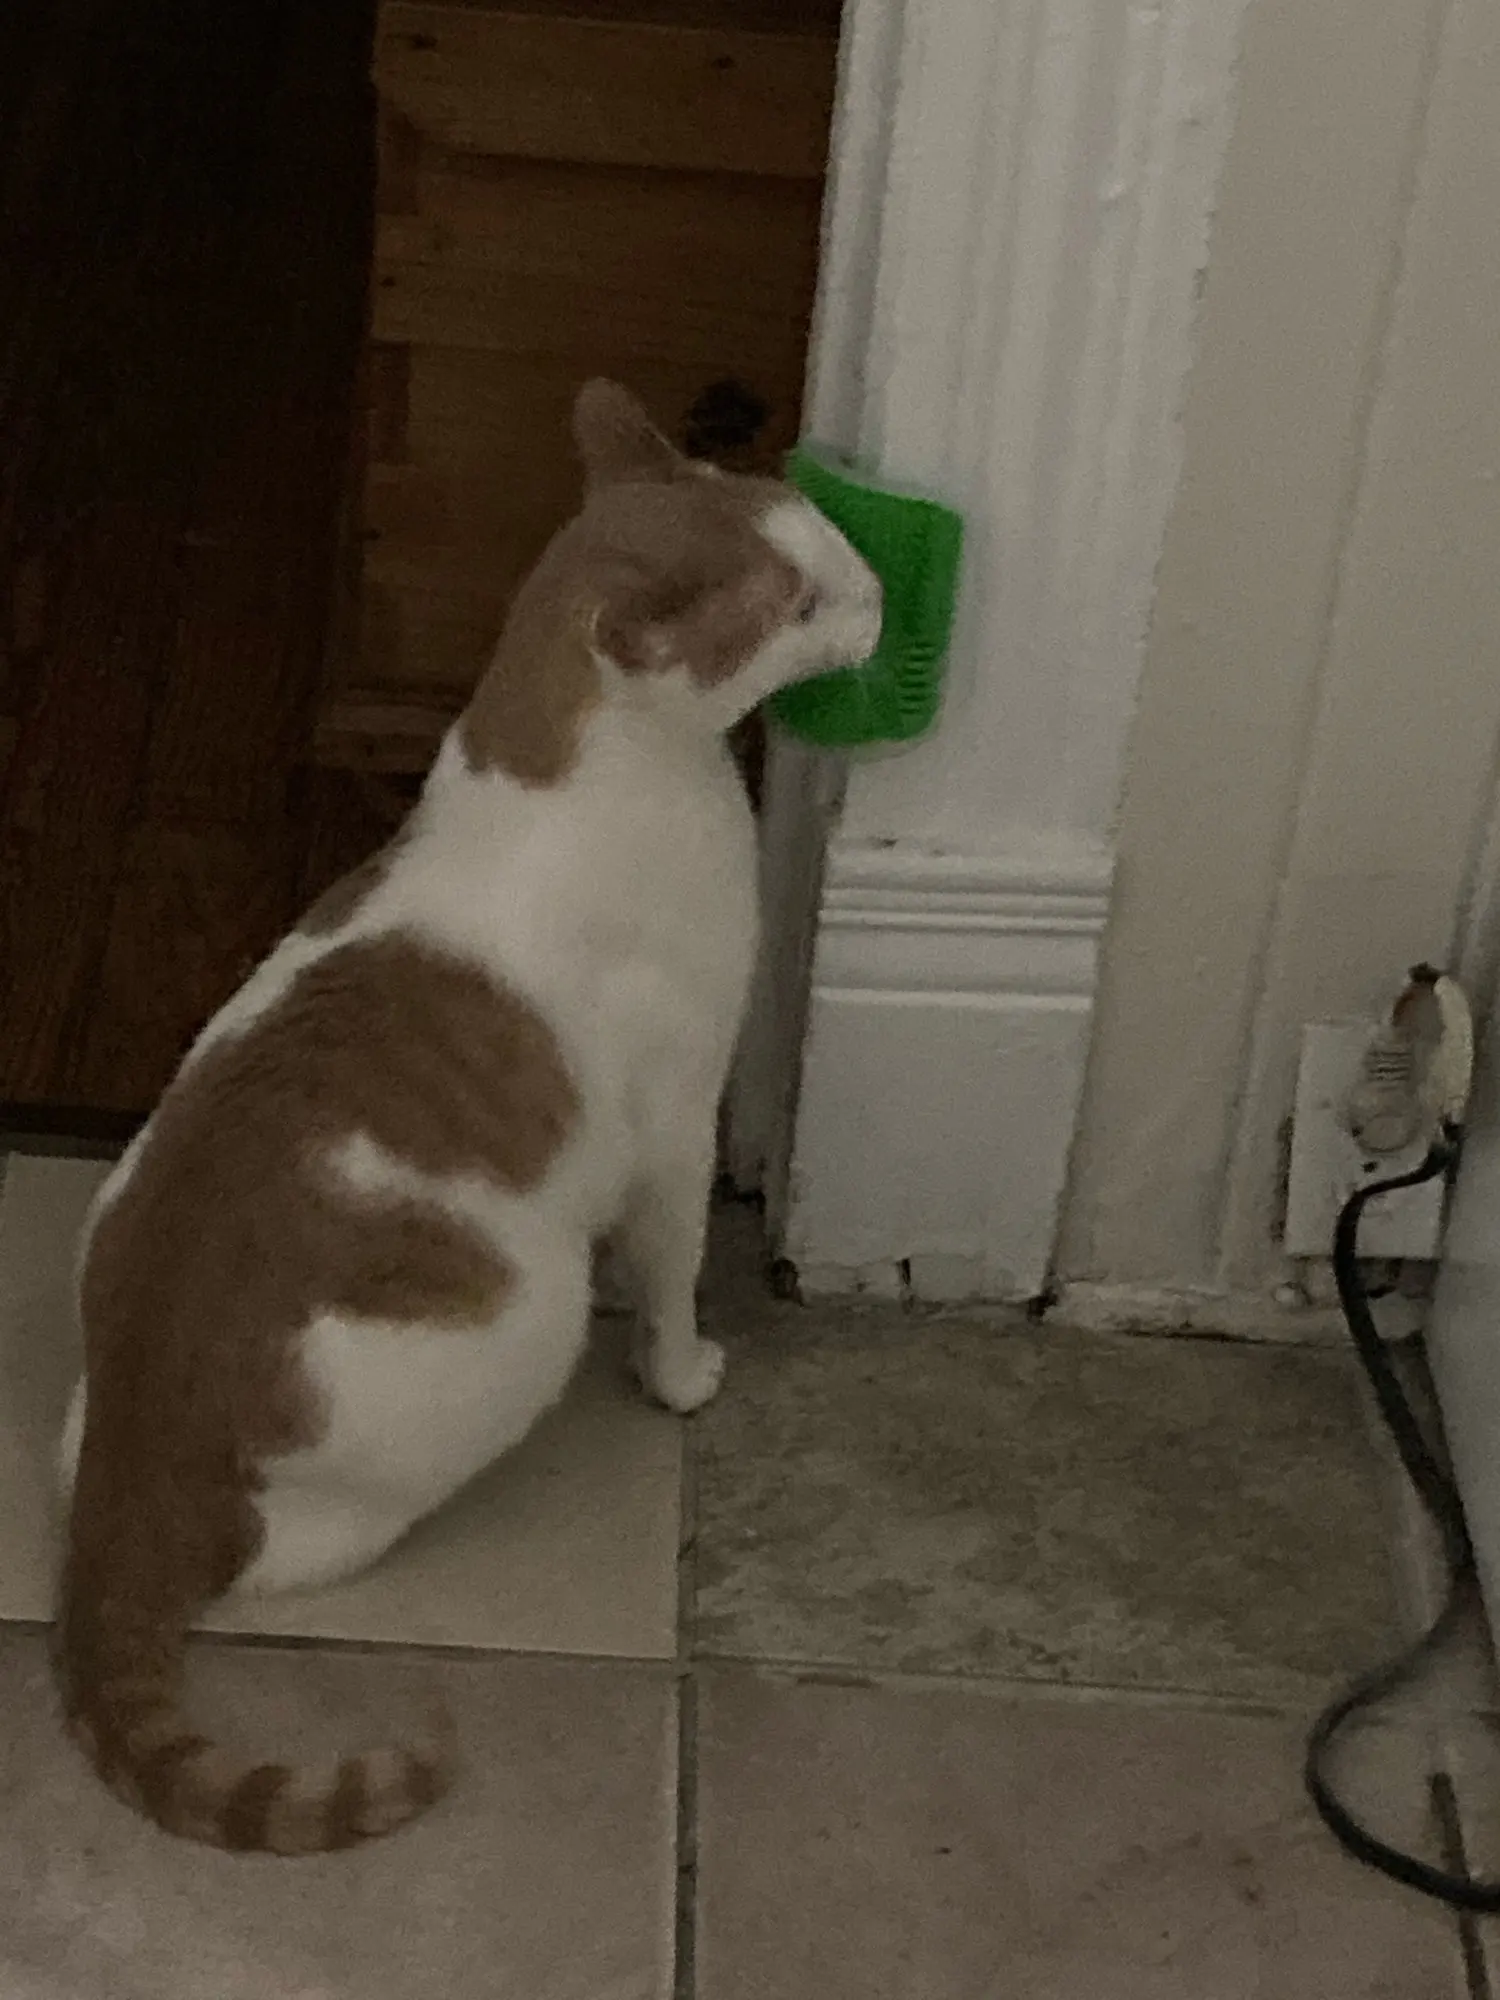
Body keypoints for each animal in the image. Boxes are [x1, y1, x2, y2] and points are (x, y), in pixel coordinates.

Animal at [52, 380, 881, 1855]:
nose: (885, 595)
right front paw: (680, 1368)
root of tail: (138, 1452)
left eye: (831, 539)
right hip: (512, 1325)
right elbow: (677, 1266)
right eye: (801, 602)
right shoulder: (679, 1120)